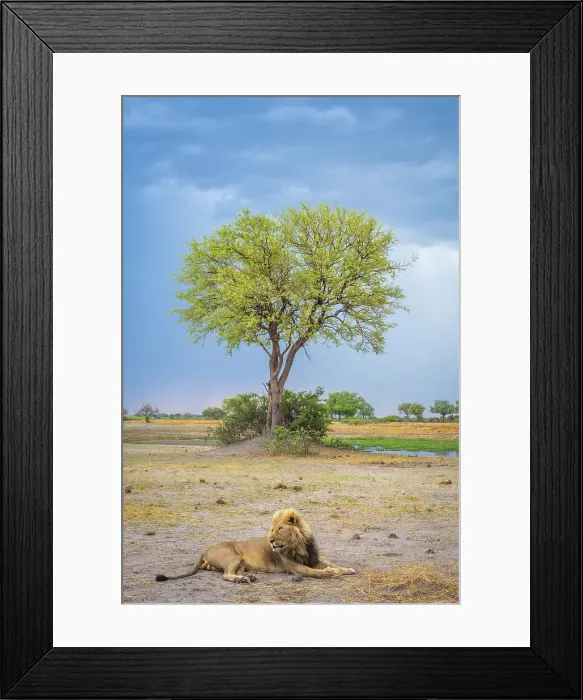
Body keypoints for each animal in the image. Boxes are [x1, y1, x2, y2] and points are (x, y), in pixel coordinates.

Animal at [155, 507, 356, 584]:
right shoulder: (294, 567)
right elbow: (316, 572)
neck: (298, 544)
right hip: (233, 556)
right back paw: (241, 580)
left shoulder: (313, 558)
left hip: (239, 562)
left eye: (280, 529)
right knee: (226, 575)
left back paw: (248, 576)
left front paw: (347, 569)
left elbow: (332, 563)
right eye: (272, 530)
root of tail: (207, 548)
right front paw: (331, 573)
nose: (271, 541)